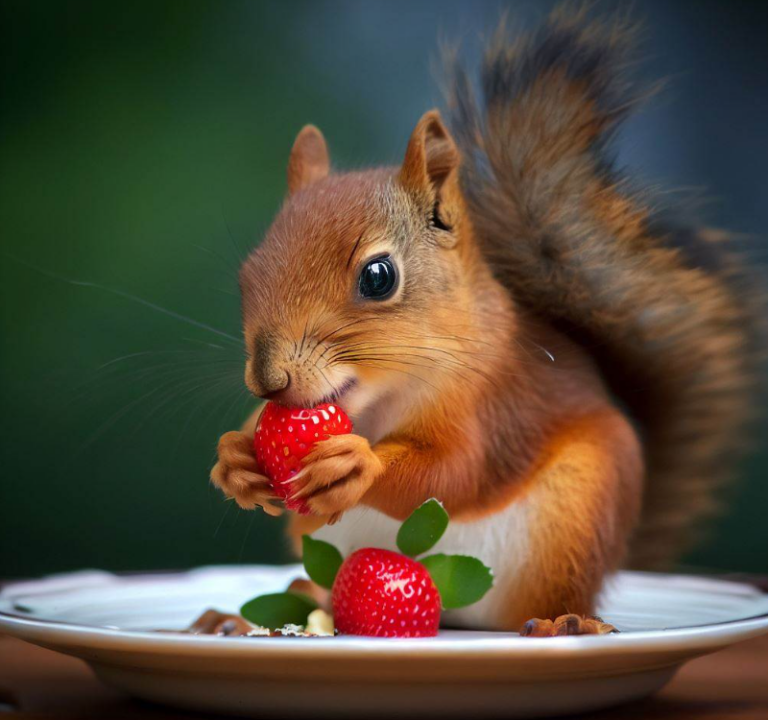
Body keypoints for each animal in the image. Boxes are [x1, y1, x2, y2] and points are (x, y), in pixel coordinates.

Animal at [210, 7, 760, 633]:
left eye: (378, 277)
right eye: (248, 274)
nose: (268, 380)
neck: (380, 402)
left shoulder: (493, 405)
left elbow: (456, 474)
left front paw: (359, 465)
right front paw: (234, 457)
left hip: (577, 518)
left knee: (553, 595)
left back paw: (566, 623)